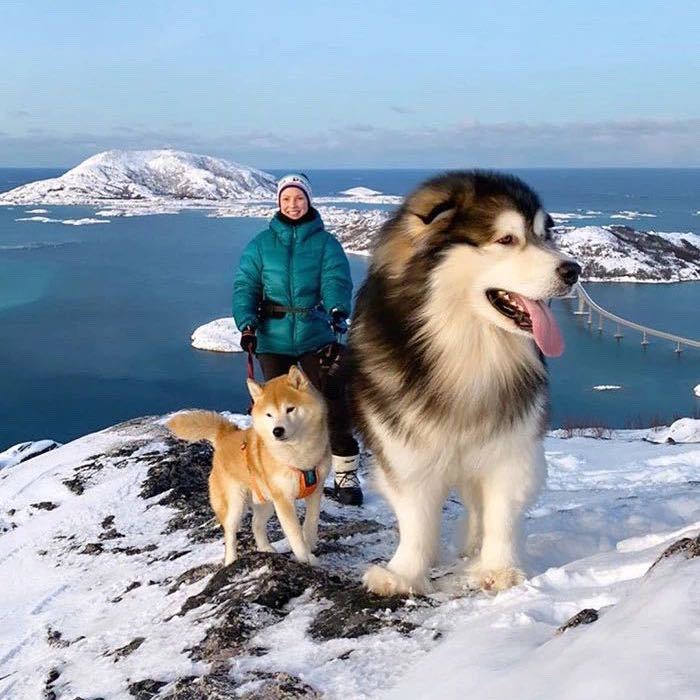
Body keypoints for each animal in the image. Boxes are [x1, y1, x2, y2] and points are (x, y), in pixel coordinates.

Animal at [170, 366, 334, 568]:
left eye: (290, 409)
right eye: (269, 414)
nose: (277, 431)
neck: (299, 455)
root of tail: (226, 436)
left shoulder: (315, 490)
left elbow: (311, 523)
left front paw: (310, 546)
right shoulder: (284, 500)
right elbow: (295, 533)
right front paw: (304, 557)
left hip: (266, 502)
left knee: (256, 524)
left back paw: (265, 548)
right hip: (235, 504)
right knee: (230, 534)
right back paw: (231, 561)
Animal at [348, 172, 584, 592]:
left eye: (546, 236)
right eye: (506, 239)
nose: (573, 271)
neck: (467, 348)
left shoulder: (511, 444)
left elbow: (500, 513)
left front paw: (499, 569)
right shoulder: (405, 447)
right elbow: (416, 519)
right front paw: (404, 573)